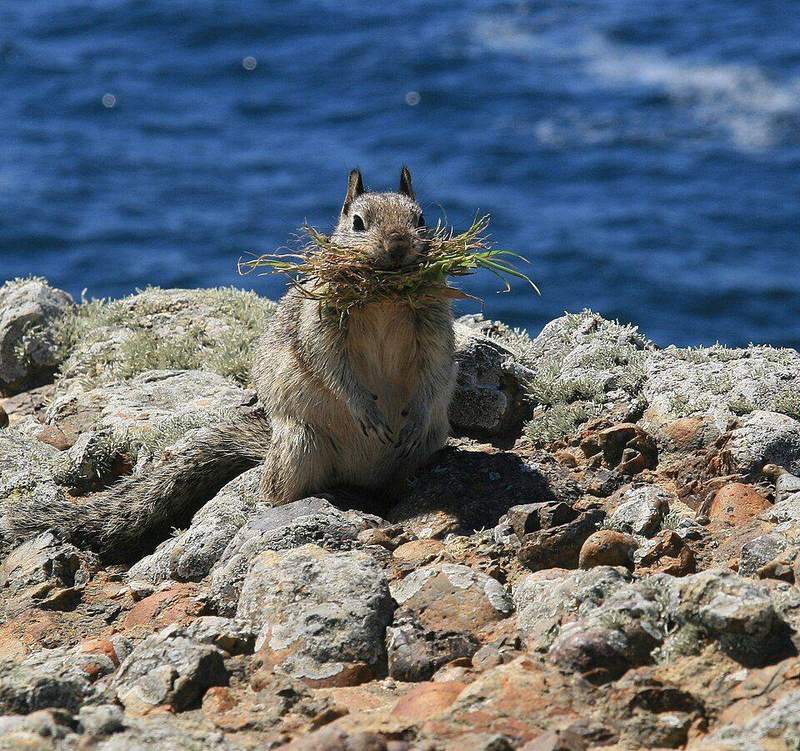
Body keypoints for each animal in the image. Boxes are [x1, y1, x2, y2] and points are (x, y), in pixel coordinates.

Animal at [6, 167, 457, 558]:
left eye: (420, 219)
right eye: (358, 223)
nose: (397, 246)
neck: (385, 297)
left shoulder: (434, 324)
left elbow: (435, 367)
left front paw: (411, 416)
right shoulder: (321, 320)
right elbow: (329, 364)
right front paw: (365, 410)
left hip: (426, 442)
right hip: (301, 444)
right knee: (274, 492)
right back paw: (325, 500)